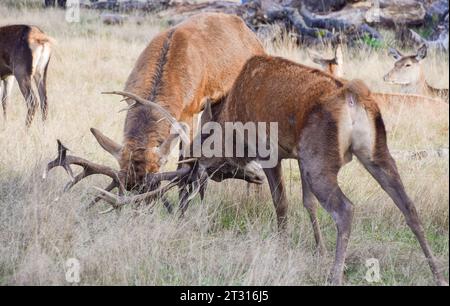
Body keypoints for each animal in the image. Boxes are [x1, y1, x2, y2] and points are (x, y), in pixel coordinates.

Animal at [96, 55, 448, 286]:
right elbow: (307, 203)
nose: (191, 185)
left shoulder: (270, 151)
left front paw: (284, 247)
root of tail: (354, 98)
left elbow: (281, 203)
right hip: (374, 151)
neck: (230, 123)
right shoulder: (298, 156)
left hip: (322, 159)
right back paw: (436, 272)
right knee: (408, 205)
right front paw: (318, 249)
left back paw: (335, 276)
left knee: (346, 209)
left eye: (200, 163)